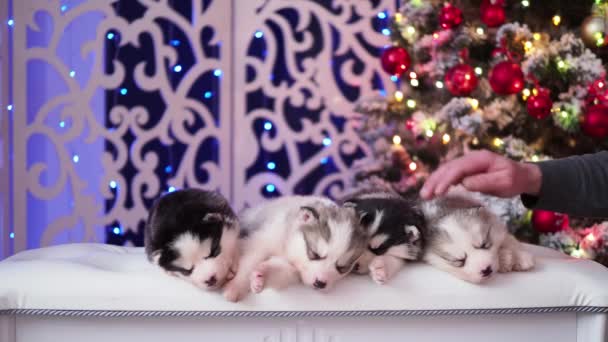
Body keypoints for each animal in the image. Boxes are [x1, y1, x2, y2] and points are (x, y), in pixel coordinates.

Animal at [222, 195, 366, 302]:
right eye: (314, 254)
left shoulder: (293, 271)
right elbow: (248, 263)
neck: (287, 246)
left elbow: (280, 271)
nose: (320, 283)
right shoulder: (260, 242)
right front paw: (234, 288)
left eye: (342, 267)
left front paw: (263, 274)